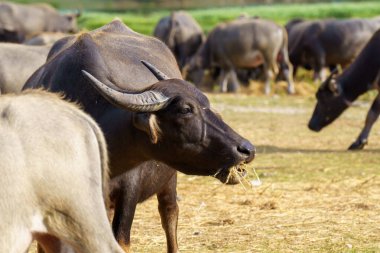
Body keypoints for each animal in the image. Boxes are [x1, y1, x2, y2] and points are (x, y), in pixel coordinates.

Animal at [24, 19, 255, 253]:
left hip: (169, 180)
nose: (246, 149)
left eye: (206, 102)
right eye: (185, 110)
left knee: (170, 213)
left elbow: (122, 240)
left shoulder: (129, 190)